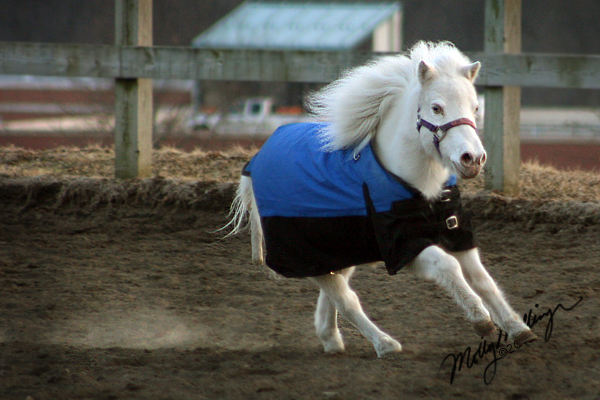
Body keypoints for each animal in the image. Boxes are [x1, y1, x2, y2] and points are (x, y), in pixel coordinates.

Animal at [229, 42, 536, 358]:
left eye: (475, 108)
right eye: (436, 108)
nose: (472, 159)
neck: (421, 190)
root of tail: (257, 159)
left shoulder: (456, 232)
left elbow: (482, 278)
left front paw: (518, 328)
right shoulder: (405, 247)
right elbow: (447, 266)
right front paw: (481, 321)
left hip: (341, 248)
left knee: (336, 292)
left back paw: (331, 339)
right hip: (305, 254)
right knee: (345, 298)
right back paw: (384, 344)